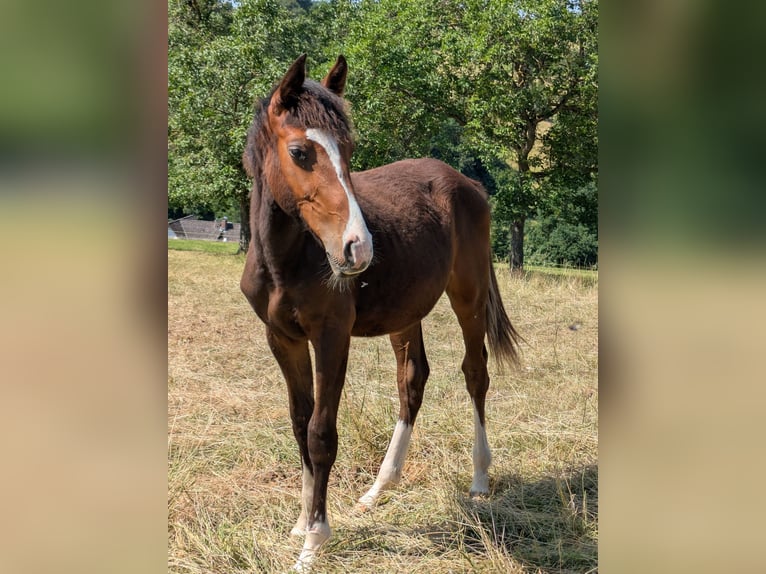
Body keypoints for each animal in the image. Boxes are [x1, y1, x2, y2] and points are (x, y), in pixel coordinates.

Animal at [240, 54, 521, 571]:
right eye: (300, 152)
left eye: (349, 149)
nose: (359, 248)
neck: (286, 260)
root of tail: (469, 183)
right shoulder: (282, 339)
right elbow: (299, 423)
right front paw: (301, 522)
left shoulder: (331, 336)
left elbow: (321, 433)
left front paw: (315, 541)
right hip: (406, 314)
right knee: (413, 379)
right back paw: (378, 488)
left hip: (468, 297)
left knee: (475, 372)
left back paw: (479, 479)